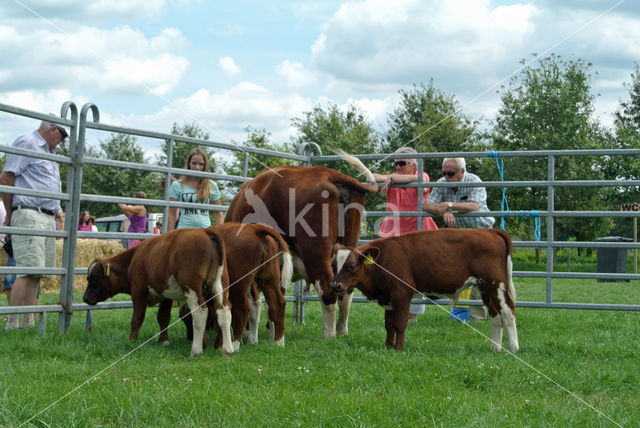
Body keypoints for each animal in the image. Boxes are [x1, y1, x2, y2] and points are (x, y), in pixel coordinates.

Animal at [83, 227, 235, 358]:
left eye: (95, 278)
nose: (85, 298)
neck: (135, 257)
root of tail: (205, 231)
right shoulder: (166, 294)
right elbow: (163, 317)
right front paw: (164, 341)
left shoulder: (138, 290)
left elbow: (137, 318)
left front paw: (132, 341)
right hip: (220, 285)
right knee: (224, 311)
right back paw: (227, 349)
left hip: (192, 288)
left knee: (200, 312)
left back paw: (196, 350)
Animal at [332, 229, 516, 352]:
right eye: (333, 265)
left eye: (351, 266)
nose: (335, 286)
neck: (383, 260)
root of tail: (490, 231)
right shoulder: (388, 298)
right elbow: (389, 325)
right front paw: (387, 346)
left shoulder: (401, 294)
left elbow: (399, 324)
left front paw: (399, 348)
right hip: (485, 287)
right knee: (495, 317)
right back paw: (495, 348)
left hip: (497, 284)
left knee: (508, 313)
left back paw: (513, 348)